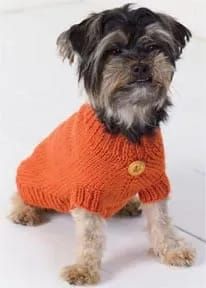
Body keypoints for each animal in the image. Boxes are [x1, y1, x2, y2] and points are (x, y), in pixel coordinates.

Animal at [9, 4, 196, 286]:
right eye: (114, 51)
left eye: (153, 46)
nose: (141, 66)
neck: (126, 127)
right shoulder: (87, 192)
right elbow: (90, 236)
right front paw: (84, 269)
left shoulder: (155, 183)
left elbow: (161, 219)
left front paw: (171, 249)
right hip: (33, 179)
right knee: (21, 193)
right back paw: (25, 211)